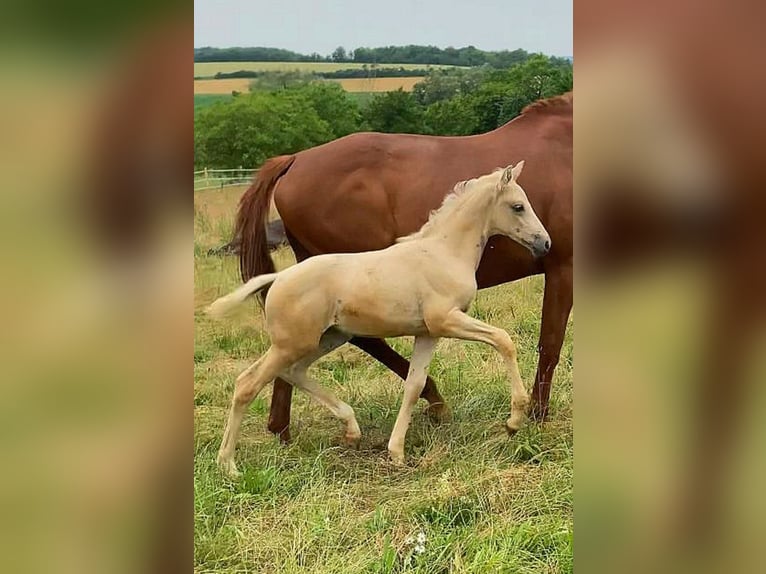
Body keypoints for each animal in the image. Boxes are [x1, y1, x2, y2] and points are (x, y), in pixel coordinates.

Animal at [207, 162, 548, 476]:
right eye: (518, 206)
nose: (545, 243)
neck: (444, 252)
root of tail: (279, 277)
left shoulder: (428, 332)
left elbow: (414, 385)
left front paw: (396, 452)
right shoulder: (446, 321)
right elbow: (504, 340)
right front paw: (514, 420)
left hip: (327, 338)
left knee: (293, 372)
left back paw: (351, 429)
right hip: (292, 344)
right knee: (247, 384)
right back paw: (228, 465)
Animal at [237, 93, 572, 440]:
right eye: (519, 206)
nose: (544, 242)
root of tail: (295, 159)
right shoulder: (564, 268)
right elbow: (549, 343)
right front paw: (535, 415)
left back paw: (282, 428)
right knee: (355, 340)